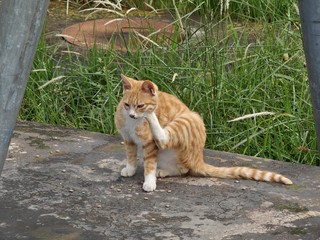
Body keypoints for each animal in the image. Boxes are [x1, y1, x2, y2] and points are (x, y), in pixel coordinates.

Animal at [115, 74, 292, 192]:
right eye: (126, 105)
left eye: (140, 106)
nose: (132, 115)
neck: (133, 123)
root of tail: (199, 159)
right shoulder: (128, 139)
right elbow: (131, 156)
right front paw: (130, 169)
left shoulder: (150, 144)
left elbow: (149, 164)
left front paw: (149, 182)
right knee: (183, 169)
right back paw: (164, 171)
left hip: (190, 118)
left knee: (170, 148)